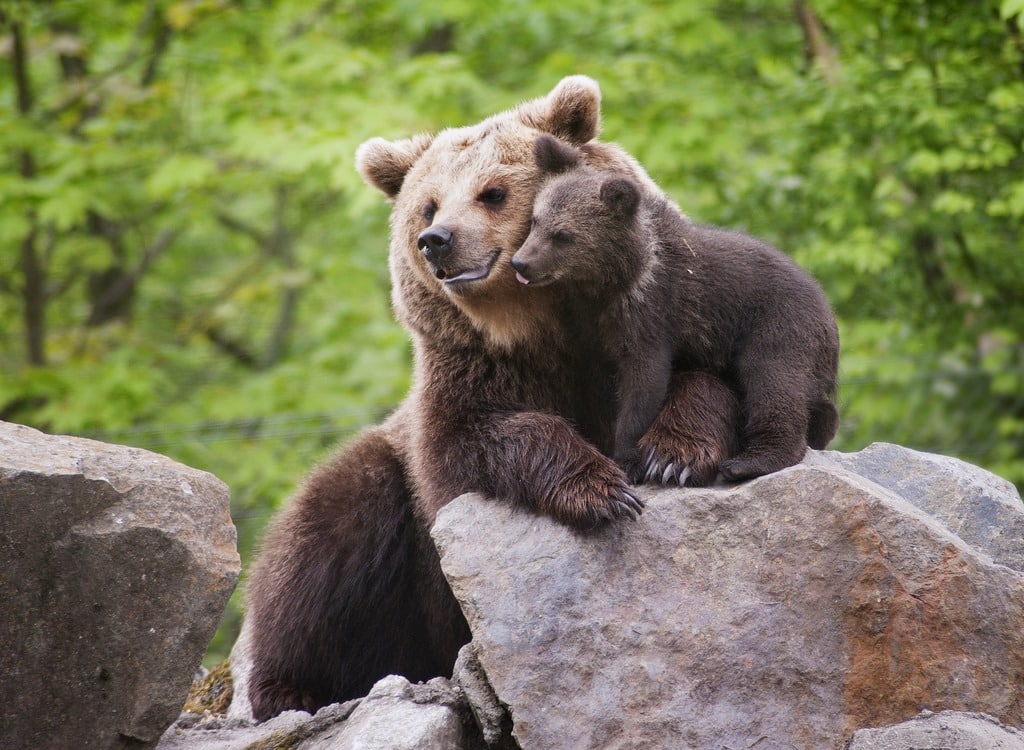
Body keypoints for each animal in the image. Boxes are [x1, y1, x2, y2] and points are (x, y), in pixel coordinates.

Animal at [241, 76, 737, 721]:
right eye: (427, 205)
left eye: (493, 192)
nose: (436, 241)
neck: (537, 324)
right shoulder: (469, 374)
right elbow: (471, 446)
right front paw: (599, 488)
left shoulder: (656, 319)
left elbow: (708, 381)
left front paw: (674, 453)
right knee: (323, 543)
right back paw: (290, 688)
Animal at [512, 135, 839, 483]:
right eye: (535, 220)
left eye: (563, 235)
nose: (521, 263)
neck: (611, 282)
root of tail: (825, 304)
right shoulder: (589, 327)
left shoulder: (650, 314)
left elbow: (644, 382)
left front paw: (629, 458)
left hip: (780, 324)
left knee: (774, 381)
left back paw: (749, 461)